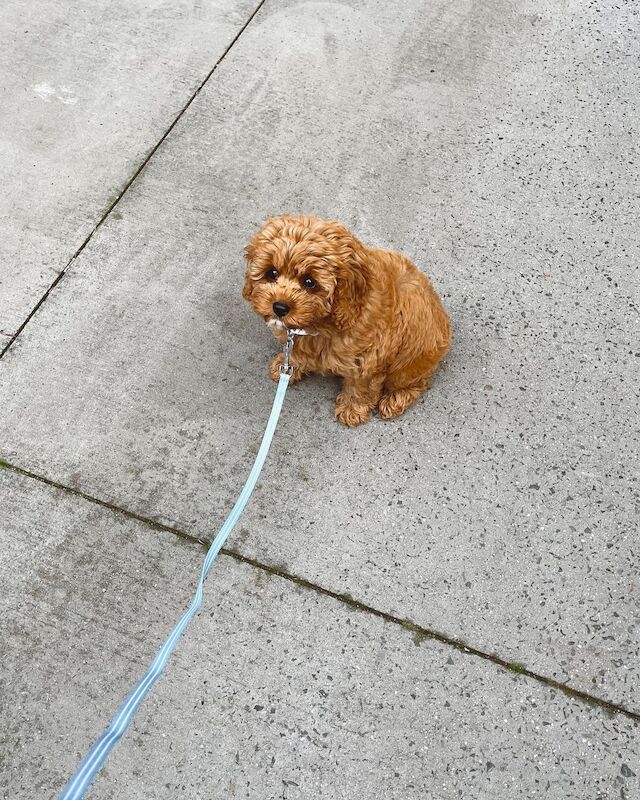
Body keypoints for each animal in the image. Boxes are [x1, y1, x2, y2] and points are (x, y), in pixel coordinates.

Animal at [242, 212, 452, 424]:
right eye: (272, 272)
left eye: (309, 282)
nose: (279, 307)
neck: (324, 322)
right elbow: (295, 354)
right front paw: (286, 366)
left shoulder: (369, 358)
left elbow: (361, 387)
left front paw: (352, 409)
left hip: (411, 362)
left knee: (418, 382)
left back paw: (395, 399)